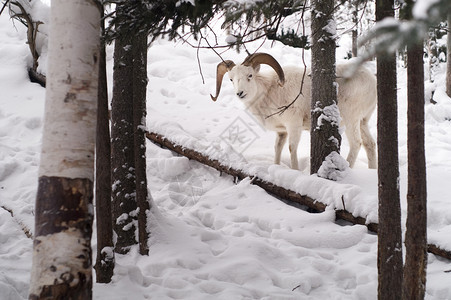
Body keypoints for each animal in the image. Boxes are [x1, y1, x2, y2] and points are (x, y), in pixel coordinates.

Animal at [212, 51, 378, 169]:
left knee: (356, 143)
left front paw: (295, 171)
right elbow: (278, 148)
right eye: (231, 79)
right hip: (363, 121)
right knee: (369, 144)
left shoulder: (294, 125)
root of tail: (372, 81)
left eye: (250, 75)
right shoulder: (282, 131)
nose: (240, 93)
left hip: (351, 119)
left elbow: (292, 148)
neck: (270, 91)